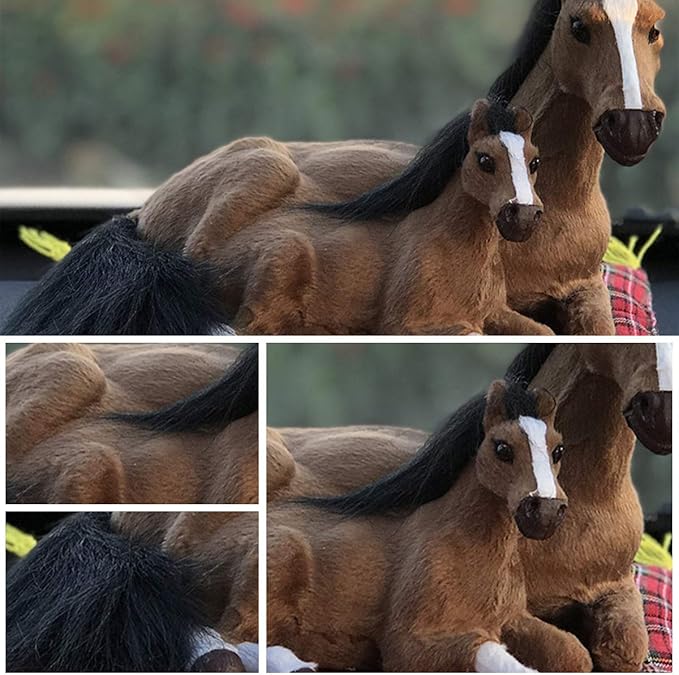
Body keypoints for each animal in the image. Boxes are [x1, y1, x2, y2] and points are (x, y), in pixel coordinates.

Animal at [2, 0, 665, 336]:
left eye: (657, 28)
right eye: (578, 25)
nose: (635, 124)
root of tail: (143, 211)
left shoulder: (582, 289)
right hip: (256, 177)